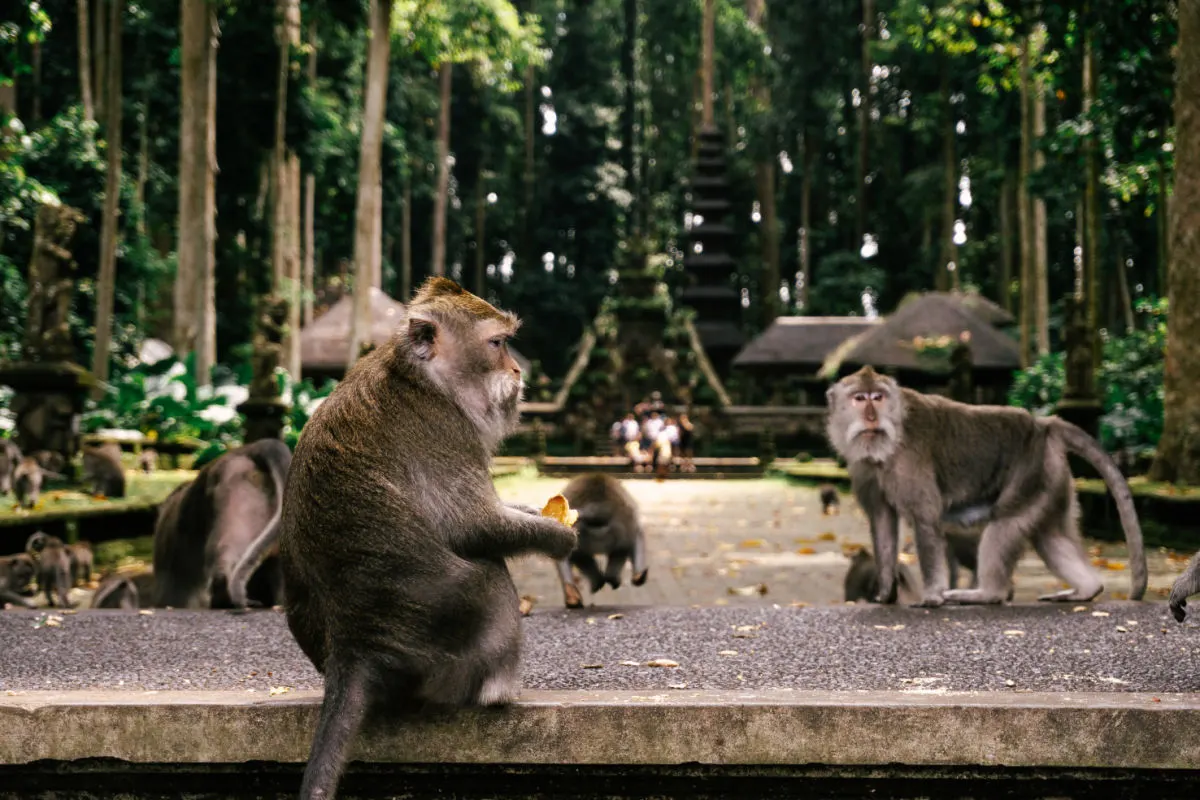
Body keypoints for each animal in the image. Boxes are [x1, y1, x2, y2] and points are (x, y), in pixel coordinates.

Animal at [279, 277, 578, 800]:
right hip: (447, 653)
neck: (418, 378)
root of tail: (357, 646)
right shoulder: (445, 429)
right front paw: (558, 538)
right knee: (488, 573)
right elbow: (474, 526)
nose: (518, 369)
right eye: (497, 343)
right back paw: (498, 691)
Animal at [825, 366, 1147, 608]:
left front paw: (931, 596)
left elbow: (925, 518)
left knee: (1004, 525)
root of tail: (1044, 425)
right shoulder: (864, 469)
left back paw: (987, 594)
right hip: (1052, 480)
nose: (871, 417)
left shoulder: (910, 463)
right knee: (1049, 536)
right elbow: (882, 522)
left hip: (1031, 475)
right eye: (859, 398)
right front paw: (885, 592)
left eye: (877, 397)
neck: (887, 444)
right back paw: (1086, 589)